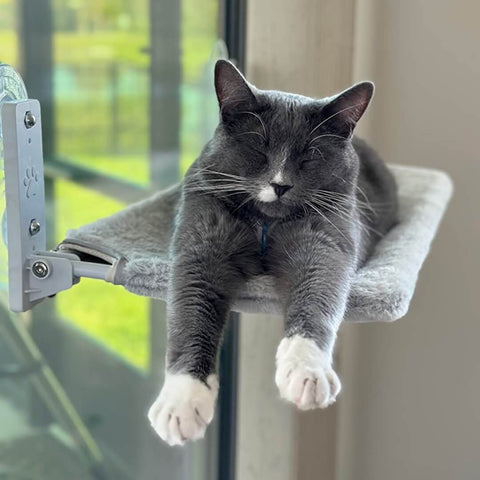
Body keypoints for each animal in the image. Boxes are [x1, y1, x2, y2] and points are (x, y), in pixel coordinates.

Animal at [146, 59, 398, 446]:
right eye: (258, 147)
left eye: (310, 155)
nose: (280, 184)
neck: (266, 224)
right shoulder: (200, 241)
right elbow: (190, 309)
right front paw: (182, 402)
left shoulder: (327, 239)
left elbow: (321, 291)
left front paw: (307, 370)